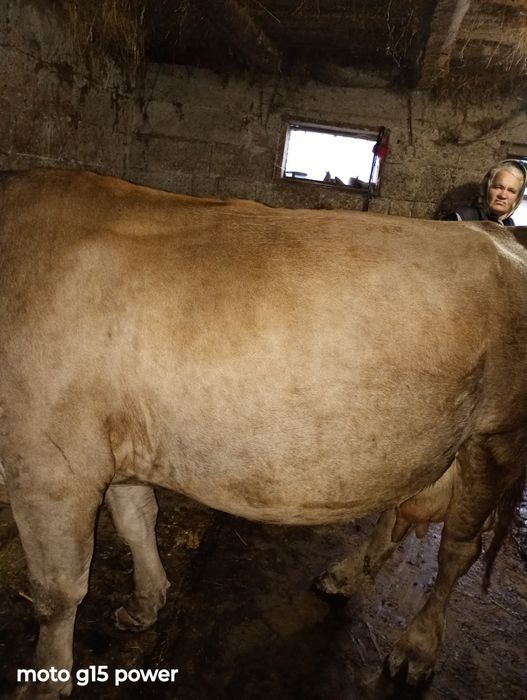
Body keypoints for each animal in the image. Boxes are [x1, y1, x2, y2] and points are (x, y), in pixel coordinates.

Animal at [0, 168, 525, 699]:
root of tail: (502, 237)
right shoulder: (114, 445)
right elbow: (137, 521)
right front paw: (147, 600)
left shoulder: (48, 464)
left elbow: (56, 590)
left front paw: (43, 682)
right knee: (397, 513)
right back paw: (344, 577)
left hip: (497, 438)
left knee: (458, 549)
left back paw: (416, 649)